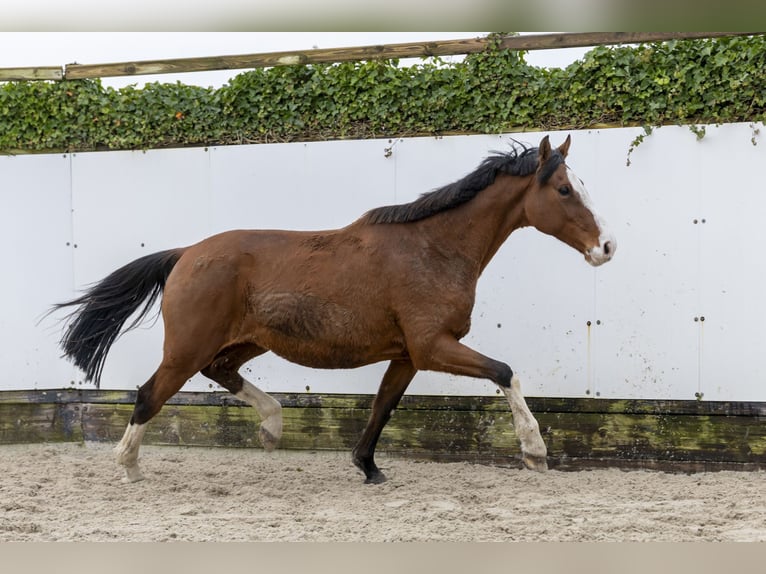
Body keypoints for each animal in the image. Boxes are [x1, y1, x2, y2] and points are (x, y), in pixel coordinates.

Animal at [53, 135, 615, 484]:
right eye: (565, 189)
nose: (607, 247)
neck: (433, 248)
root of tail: (186, 253)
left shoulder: (407, 355)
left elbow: (383, 406)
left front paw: (368, 468)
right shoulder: (433, 346)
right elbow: (505, 371)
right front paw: (535, 452)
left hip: (244, 341)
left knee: (222, 373)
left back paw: (272, 426)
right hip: (186, 349)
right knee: (149, 394)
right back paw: (130, 466)